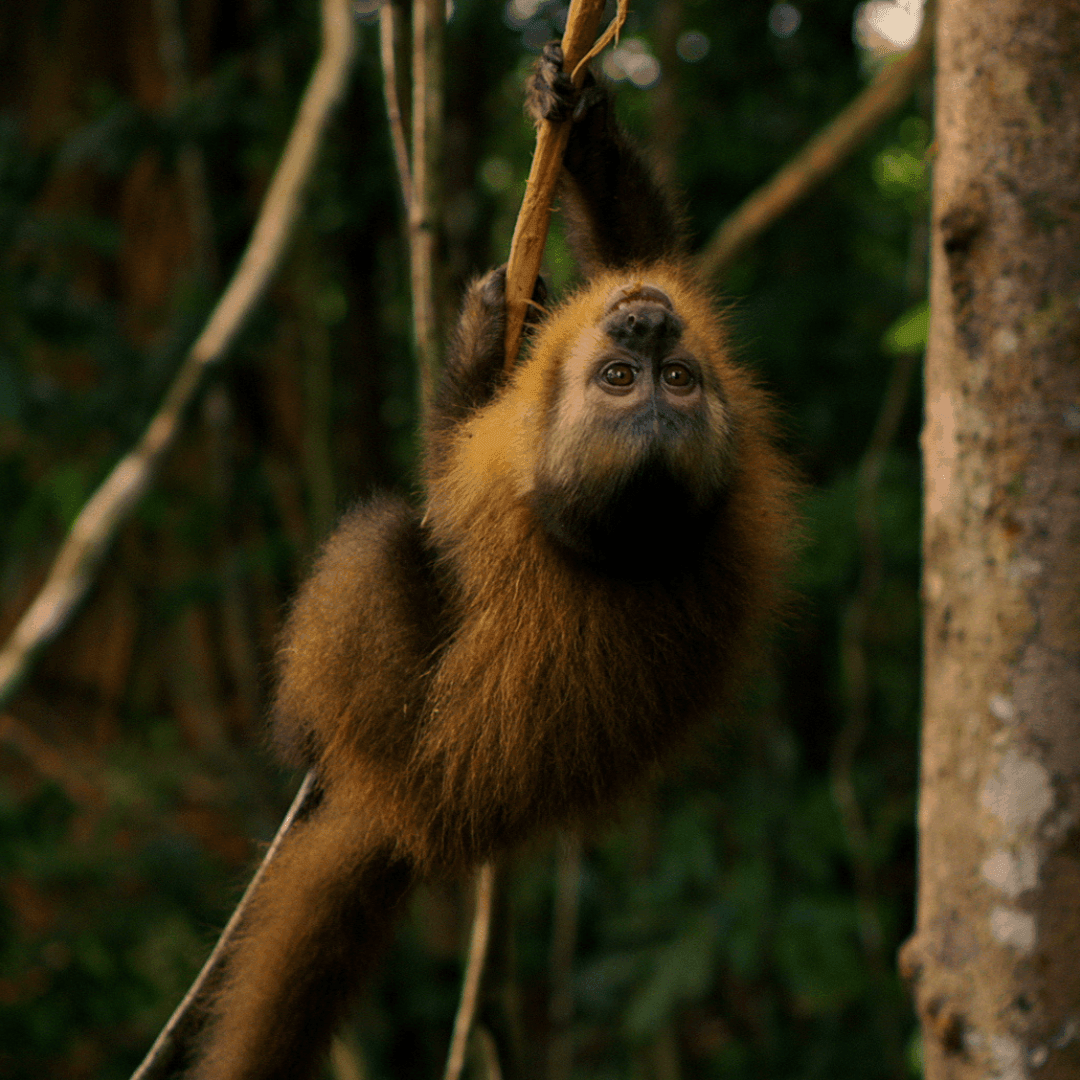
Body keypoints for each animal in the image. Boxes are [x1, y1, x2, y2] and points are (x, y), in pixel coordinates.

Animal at [187, 44, 794, 1080]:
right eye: (645, 378)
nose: (647, 329)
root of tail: (425, 821)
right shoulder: (736, 472)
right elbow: (648, 247)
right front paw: (576, 114)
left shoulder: (500, 500)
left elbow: (439, 477)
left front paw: (477, 344)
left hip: (389, 732)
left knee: (381, 538)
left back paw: (301, 746)